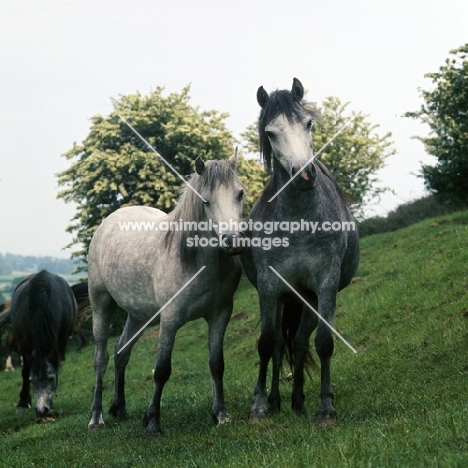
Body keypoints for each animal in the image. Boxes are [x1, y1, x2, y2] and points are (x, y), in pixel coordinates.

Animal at [0, 270, 77, 416]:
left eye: (51, 379)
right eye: (32, 381)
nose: (41, 411)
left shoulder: (60, 341)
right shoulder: (24, 343)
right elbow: (25, 370)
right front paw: (23, 403)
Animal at [88, 154, 247, 436]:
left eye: (239, 193)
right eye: (206, 201)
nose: (233, 242)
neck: (197, 261)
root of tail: (108, 221)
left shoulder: (220, 314)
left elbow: (216, 364)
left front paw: (221, 414)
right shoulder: (170, 320)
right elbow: (161, 370)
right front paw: (152, 421)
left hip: (139, 315)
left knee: (121, 352)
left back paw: (120, 409)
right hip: (101, 304)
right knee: (101, 359)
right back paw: (97, 417)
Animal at [239, 78, 360, 426]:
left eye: (308, 123)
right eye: (270, 132)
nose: (304, 175)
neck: (298, 222)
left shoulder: (325, 284)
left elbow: (323, 343)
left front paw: (326, 408)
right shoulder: (269, 286)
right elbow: (266, 343)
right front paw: (259, 407)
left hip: (308, 297)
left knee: (300, 342)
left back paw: (297, 401)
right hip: (286, 297)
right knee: (282, 344)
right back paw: (277, 401)